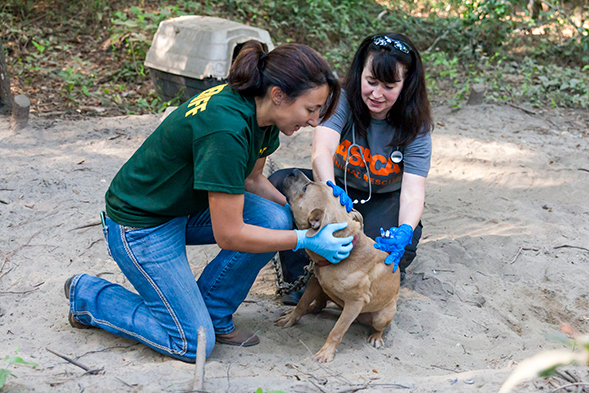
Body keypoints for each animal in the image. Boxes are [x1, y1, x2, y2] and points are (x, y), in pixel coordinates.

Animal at [276, 168, 400, 362]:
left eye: (305, 188)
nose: (294, 170)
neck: (347, 251)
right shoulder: (315, 282)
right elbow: (302, 304)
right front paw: (291, 318)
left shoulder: (355, 303)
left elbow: (337, 330)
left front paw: (326, 352)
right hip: (323, 291)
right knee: (318, 306)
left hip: (382, 315)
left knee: (378, 327)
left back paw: (376, 337)